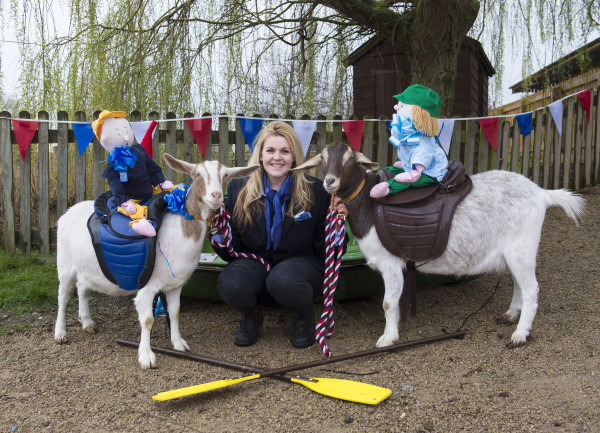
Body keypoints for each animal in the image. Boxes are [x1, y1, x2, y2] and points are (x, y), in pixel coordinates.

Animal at [56, 154, 260, 366]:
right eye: (197, 174)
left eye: (226, 175)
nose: (216, 195)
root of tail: (68, 212)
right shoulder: (148, 287)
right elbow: (147, 320)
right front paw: (146, 357)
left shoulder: (175, 285)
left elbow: (175, 312)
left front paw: (179, 344)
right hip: (64, 264)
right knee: (63, 296)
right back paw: (60, 332)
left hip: (86, 266)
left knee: (82, 287)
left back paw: (87, 322)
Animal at [296, 142, 584, 348]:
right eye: (323, 158)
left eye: (349, 159)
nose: (330, 181)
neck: (368, 203)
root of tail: (541, 193)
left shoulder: (390, 263)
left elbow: (388, 303)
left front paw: (387, 338)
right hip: (512, 253)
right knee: (518, 285)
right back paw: (510, 315)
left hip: (521, 248)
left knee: (531, 289)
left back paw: (520, 334)